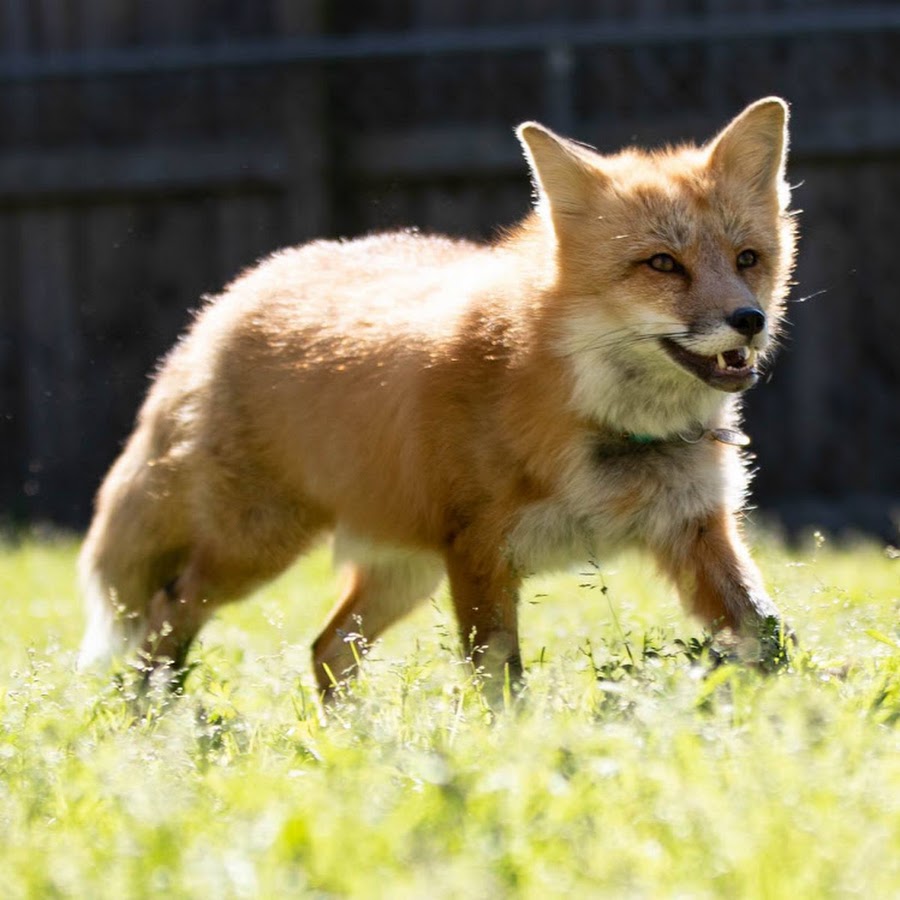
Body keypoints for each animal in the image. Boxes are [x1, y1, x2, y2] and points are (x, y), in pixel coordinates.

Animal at [78, 97, 797, 699]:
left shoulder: (695, 528)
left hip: (401, 570)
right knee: (167, 616)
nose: (749, 320)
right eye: (662, 264)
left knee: (325, 651)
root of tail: (231, 296)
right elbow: (501, 682)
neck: (603, 425)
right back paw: (156, 722)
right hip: (254, 550)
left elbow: (772, 640)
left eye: (748, 258)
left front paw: (798, 721)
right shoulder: (479, 552)